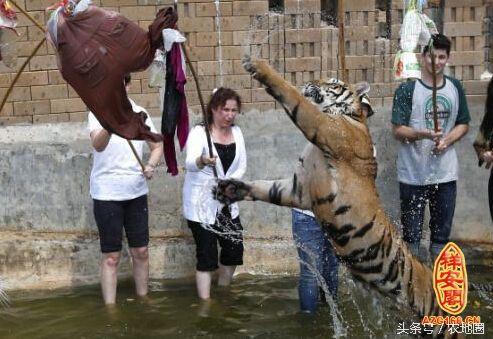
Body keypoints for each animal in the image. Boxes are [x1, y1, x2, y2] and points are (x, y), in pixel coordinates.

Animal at [214, 55, 458, 338]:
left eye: (332, 82)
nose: (311, 80)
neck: (348, 116)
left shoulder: (321, 127)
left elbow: (290, 93)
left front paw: (258, 65)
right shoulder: (298, 190)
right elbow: (265, 187)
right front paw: (229, 189)